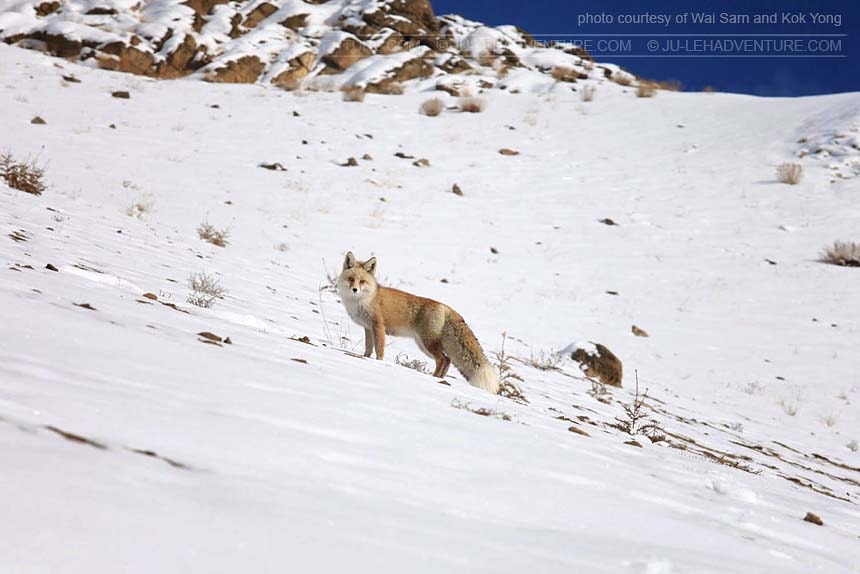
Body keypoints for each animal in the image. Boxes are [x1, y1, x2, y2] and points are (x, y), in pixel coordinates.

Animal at [336, 252, 500, 394]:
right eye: (351, 279)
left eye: (362, 281)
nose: (355, 289)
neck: (364, 300)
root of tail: (446, 307)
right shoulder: (368, 328)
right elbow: (368, 349)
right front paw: (365, 358)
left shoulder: (378, 326)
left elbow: (379, 350)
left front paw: (379, 363)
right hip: (423, 345)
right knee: (447, 360)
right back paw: (439, 379)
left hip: (427, 343)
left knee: (443, 359)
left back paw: (434, 378)